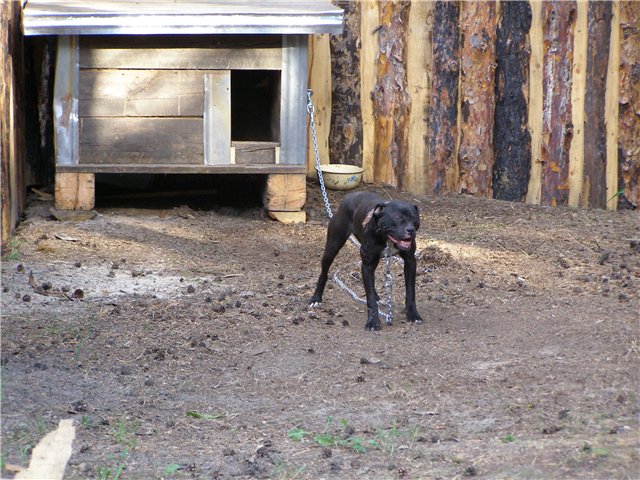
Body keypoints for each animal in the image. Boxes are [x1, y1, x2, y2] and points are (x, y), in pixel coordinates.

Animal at [310, 191, 423, 331]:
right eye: (397, 217)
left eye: (414, 219)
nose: (410, 230)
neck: (386, 239)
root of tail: (350, 195)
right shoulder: (367, 265)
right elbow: (370, 298)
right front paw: (373, 321)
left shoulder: (410, 261)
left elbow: (410, 291)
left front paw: (413, 314)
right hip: (333, 246)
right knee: (324, 273)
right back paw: (316, 298)